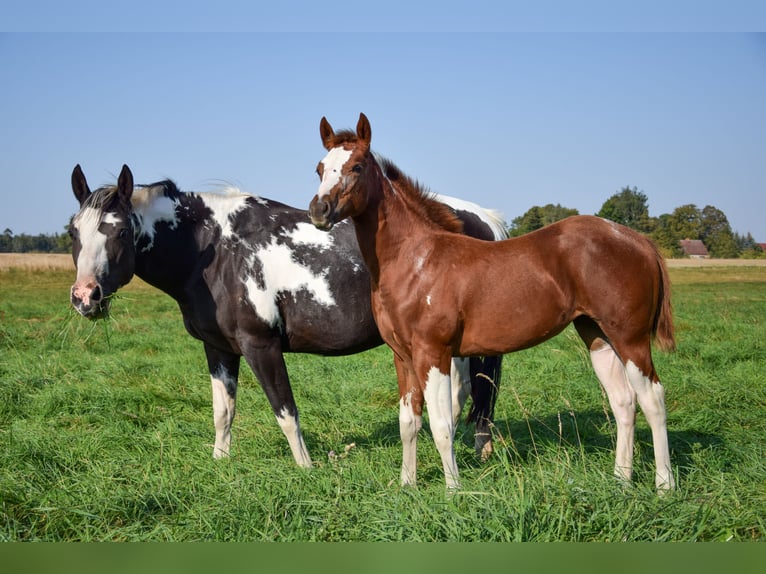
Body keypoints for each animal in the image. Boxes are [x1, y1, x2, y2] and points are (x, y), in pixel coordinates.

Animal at [68, 164, 506, 468]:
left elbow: (286, 412)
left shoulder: (260, 346)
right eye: (73, 231)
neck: (214, 252)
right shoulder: (218, 349)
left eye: (121, 231)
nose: (85, 297)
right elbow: (223, 412)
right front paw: (220, 462)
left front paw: (306, 468)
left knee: (471, 395)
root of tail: (483, 219)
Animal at [308, 113, 676, 492]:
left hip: (631, 339)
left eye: (356, 166)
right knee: (623, 402)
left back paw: (664, 484)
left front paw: (453, 489)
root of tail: (638, 240)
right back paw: (622, 479)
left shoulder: (433, 354)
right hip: (598, 336)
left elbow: (442, 424)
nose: (319, 210)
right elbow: (408, 423)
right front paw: (407, 484)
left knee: (653, 399)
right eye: (320, 168)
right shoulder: (403, 357)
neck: (417, 260)